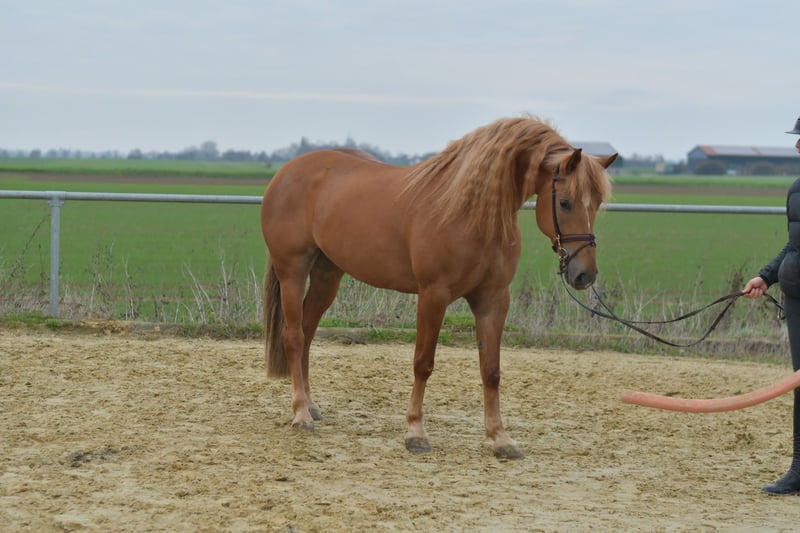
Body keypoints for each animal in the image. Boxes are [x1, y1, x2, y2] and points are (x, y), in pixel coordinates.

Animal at [260, 116, 617, 459]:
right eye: (566, 203)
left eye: (598, 201)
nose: (584, 275)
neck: (470, 213)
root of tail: (286, 172)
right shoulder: (434, 295)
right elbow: (423, 363)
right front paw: (416, 433)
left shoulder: (493, 300)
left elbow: (491, 370)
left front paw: (500, 439)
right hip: (293, 271)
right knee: (294, 337)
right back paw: (300, 414)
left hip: (327, 275)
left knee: (307, 331)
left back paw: (311, 406)